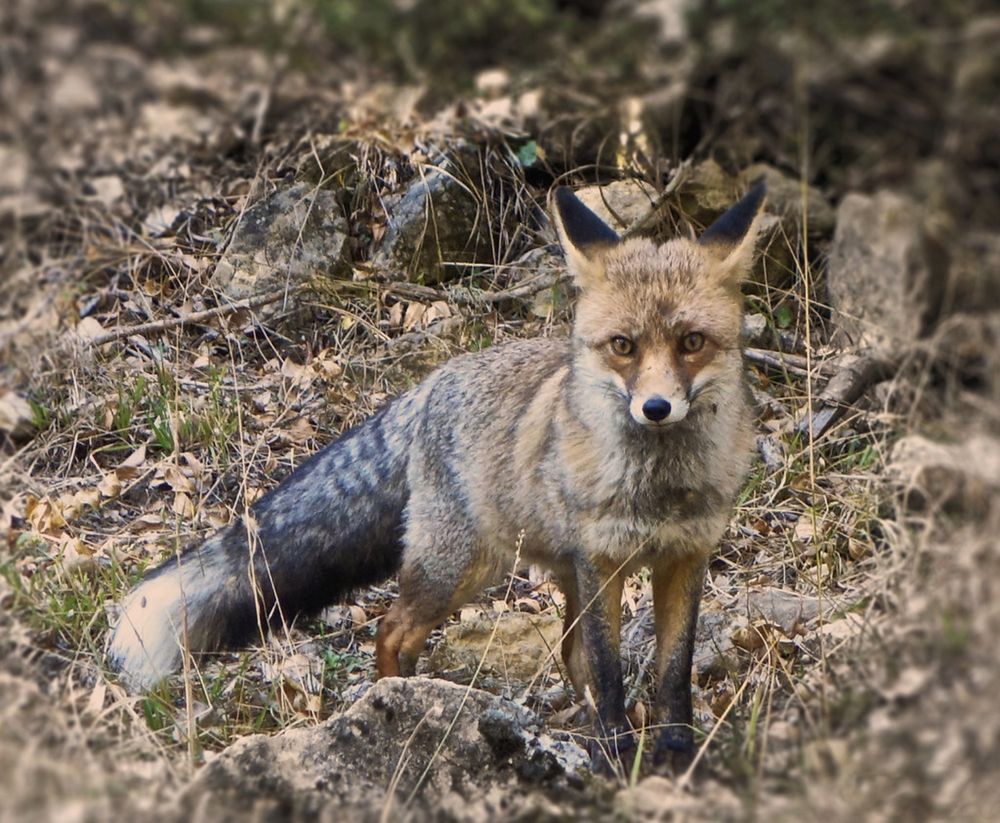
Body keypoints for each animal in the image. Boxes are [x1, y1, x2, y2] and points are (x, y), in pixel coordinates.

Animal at [107, 180, 765, 771]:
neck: (659, 492)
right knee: (394, 631)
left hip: (546, 572)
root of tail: (427, 386)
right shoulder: (603, 562)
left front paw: (675, 752)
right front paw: (616, 757)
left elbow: (671, 672)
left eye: (692, 342)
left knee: (567, 654)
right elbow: (608, 671)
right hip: (462, 567)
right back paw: (396, 702)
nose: (655, 407)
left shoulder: (684, 557)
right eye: (624, 346)